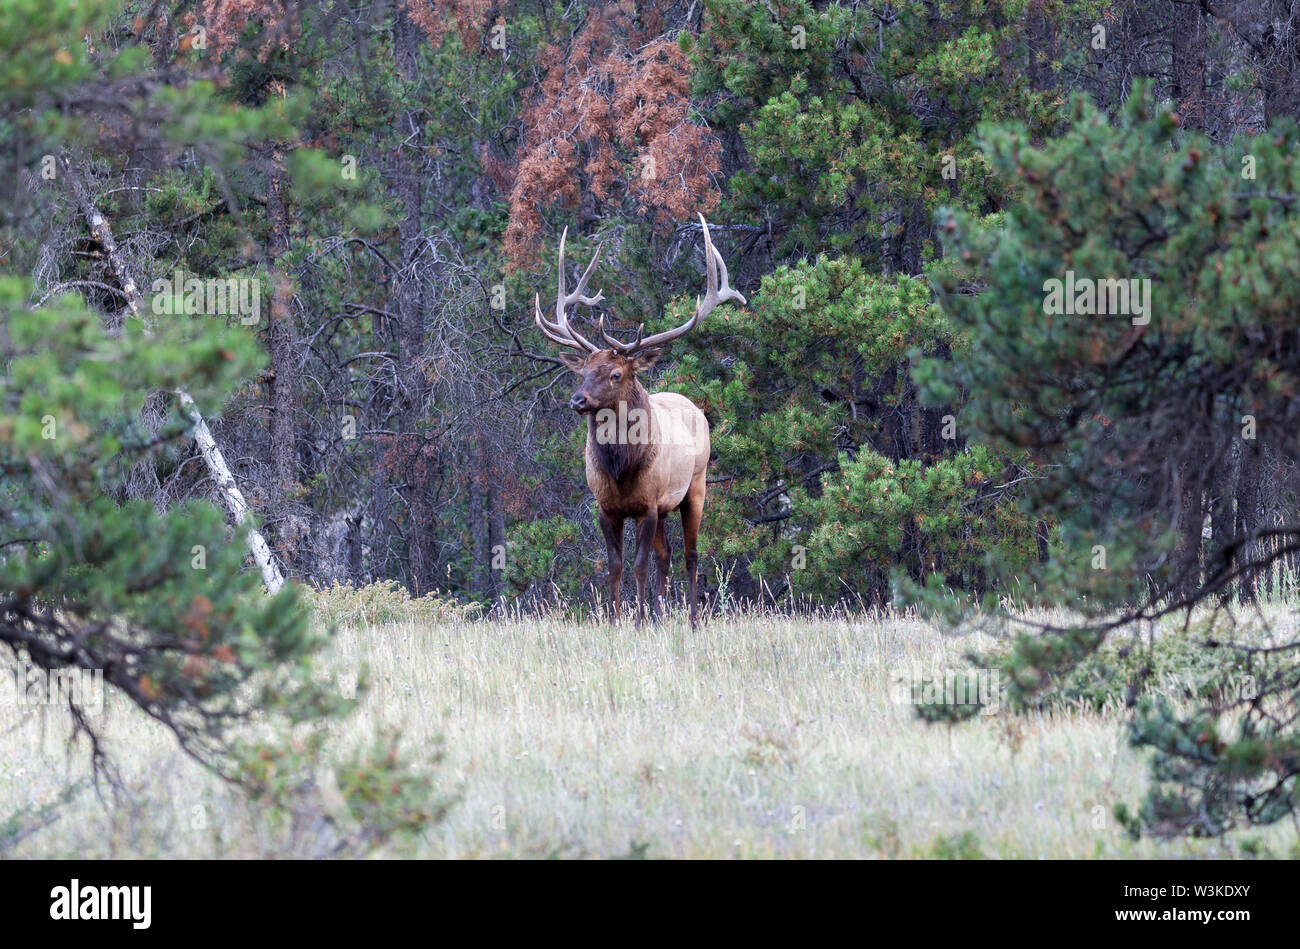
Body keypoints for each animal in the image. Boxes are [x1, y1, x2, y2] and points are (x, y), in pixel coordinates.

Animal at [535, 217, 743, 624]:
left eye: (616, 374)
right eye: (583, 371)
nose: (577, 400)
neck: (622, 469)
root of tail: (693, 405)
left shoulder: (647, 504)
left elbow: (639, 566)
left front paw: (639, 621)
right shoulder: (606, 508)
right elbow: (616, 567)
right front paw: (619, 621)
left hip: (695, 486)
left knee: (691, 555)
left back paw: (692, 621)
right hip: (665, 509)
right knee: (667, 557)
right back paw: (662, 616)